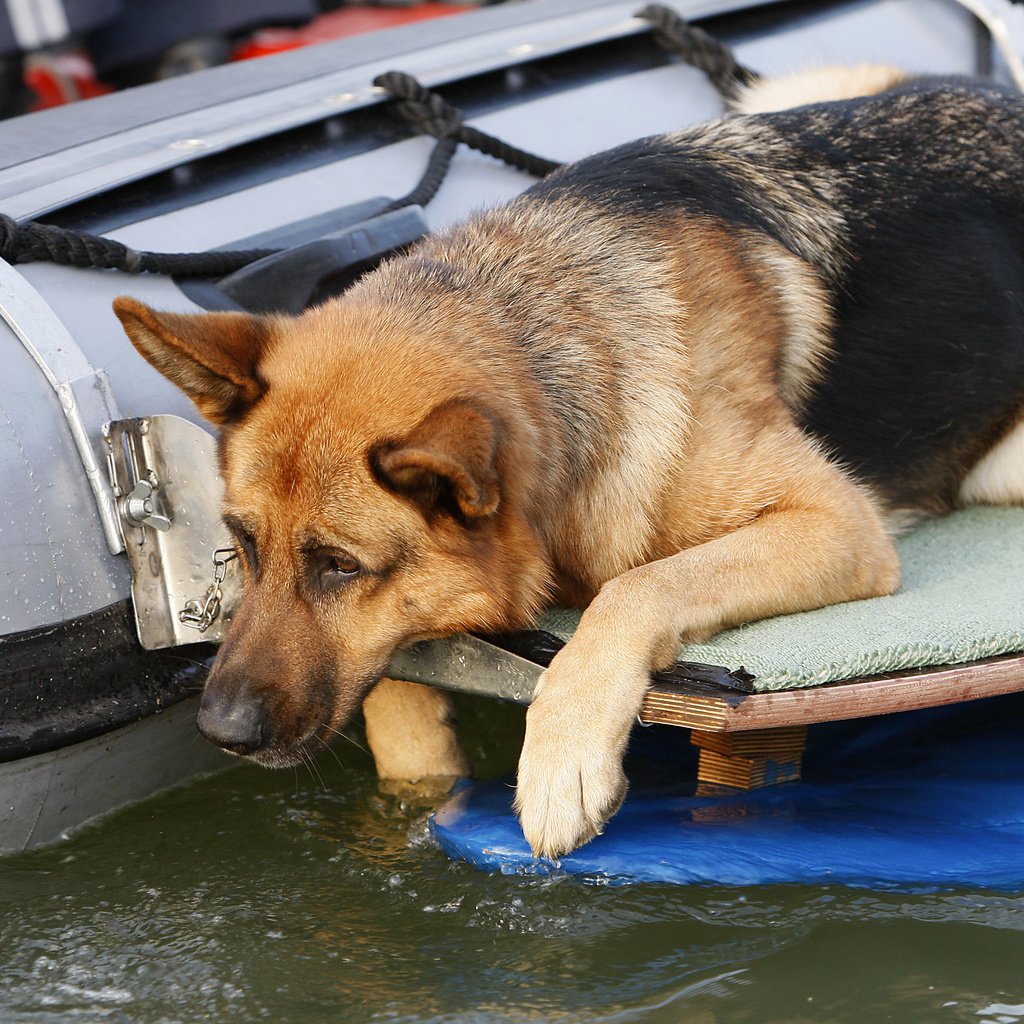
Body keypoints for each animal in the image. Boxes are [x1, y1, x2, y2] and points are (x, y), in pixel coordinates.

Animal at [112, 66, 1024, 856]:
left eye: (339, 565)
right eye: (244, 543)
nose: (220, 732)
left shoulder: (837, 522)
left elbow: (636, 586)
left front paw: (561, 755)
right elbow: (392, 690)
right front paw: (421, 779)